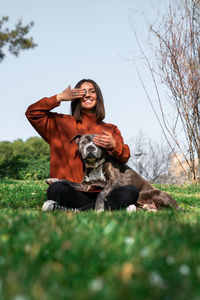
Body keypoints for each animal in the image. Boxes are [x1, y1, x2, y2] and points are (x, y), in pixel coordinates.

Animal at [46, 134, 179, 211]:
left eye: (98, 143)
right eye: (83, 142)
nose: (90, 148)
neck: (96, 165)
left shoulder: (115, 182)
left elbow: (101, 193)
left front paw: (99, 208)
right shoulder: (85, 185)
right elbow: (67, 181)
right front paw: (53, 179)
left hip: (159, 195)